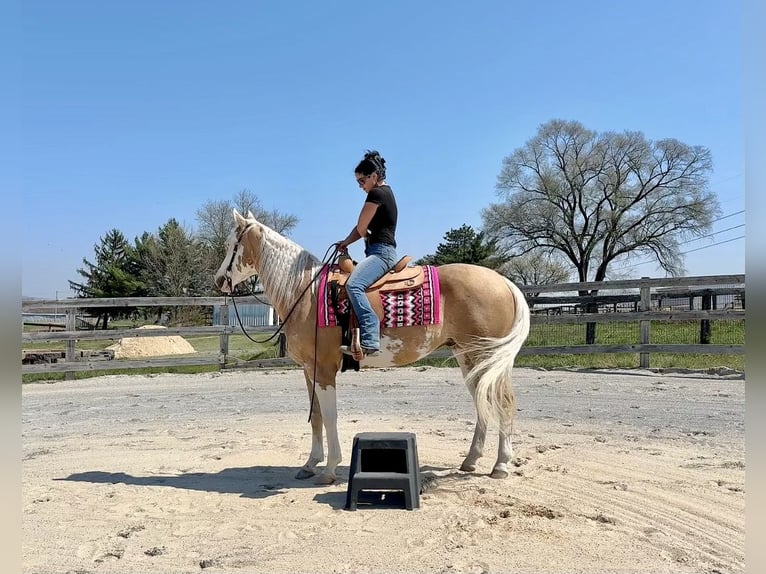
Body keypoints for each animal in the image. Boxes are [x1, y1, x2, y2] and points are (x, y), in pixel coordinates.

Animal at [214, 209, 530, 484]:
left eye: (231, 244)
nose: (219, 280)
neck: (306, 292)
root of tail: (503, 282)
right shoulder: (308, 370)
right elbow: (316, 416)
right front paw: (310, 464)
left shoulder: (324, 370)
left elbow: (330, 416)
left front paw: (329, 469)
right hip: (469, 357)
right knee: (482, 400)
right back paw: (471, 460)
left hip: (486, 355)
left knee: (503, 401)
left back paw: (501, 465)